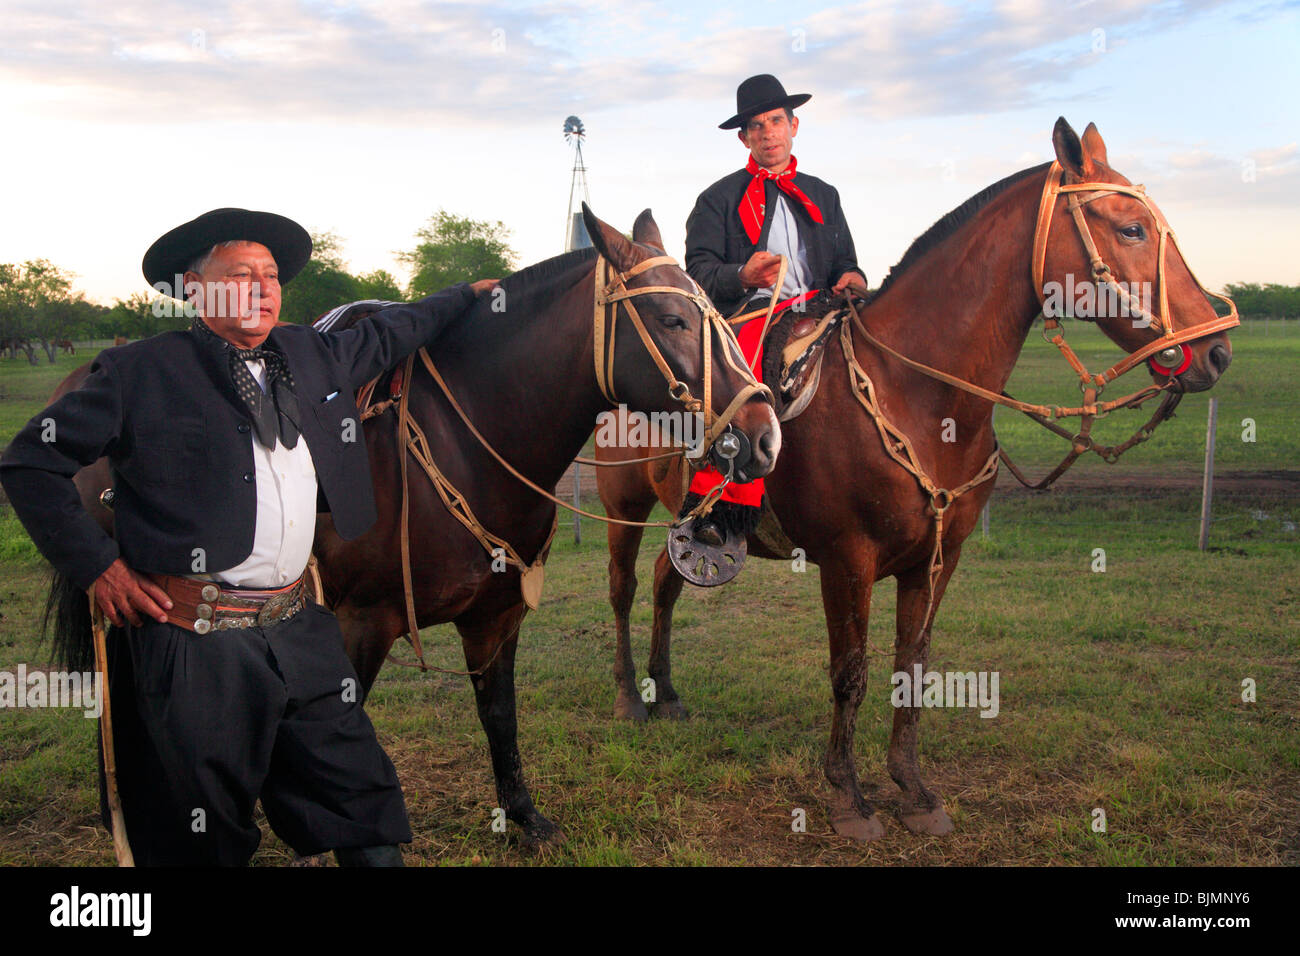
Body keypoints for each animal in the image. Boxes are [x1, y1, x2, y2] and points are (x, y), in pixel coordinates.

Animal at [595, 115, 1232, 842]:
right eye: (1129, 229)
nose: (1217, 349)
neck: (919, 393)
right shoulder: (847, 560)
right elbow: (850, 674)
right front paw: (848, 796)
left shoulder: (937, 559)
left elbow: (912, 667)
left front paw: (913, 788)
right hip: (622, 505)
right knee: (623, 588)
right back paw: (629, 697)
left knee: (666, 583)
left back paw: (667, 694)